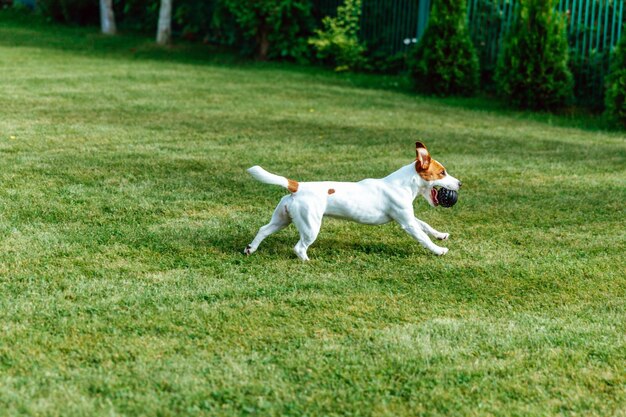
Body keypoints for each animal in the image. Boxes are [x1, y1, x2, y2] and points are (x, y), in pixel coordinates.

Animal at [244, 143, 458, 260]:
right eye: (442, 173)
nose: (460, 183)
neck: (403, 183)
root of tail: (297, 186)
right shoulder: (407, 223)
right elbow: (423, 237)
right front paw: (439, 250)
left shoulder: (408, 216)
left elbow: (426, 225)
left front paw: (441, 235)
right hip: (310, 226)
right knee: (299, 247)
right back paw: (309, 262)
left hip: (282, 219)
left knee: (263, 229)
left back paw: (250, 249)